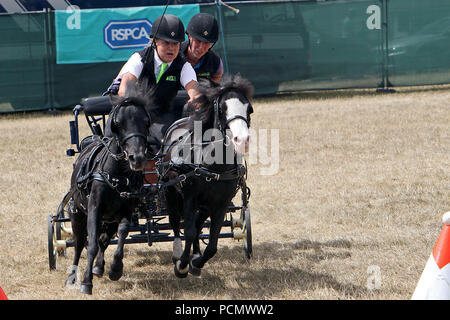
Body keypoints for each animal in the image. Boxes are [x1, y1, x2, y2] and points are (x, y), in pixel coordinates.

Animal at [65, 83, 153, 296]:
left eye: (146, 122)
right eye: (119, 123)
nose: (138, 157)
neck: (117, 174)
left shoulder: (126, 211)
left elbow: (121, 234)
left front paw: (115, 268)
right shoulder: (94, 210)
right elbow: (90, 245)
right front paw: (86, 282)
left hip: (109, 219)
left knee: (104, 239)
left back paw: (99, 267)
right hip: (77, 214)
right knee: (79, 243)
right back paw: (72, 276)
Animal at [161, 75, 253, 278]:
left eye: (249, 109)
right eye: (223, 108)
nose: (242, 140)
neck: (215, 166)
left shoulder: (221, 203)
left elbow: (211, 244)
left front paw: (196, 261)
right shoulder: (189, 198)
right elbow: (187, 231)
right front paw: (182, 265)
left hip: (204, 205)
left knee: (198, 225)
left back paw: (195, 255)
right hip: (171, 192)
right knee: (176, 222)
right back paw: (178, 253)